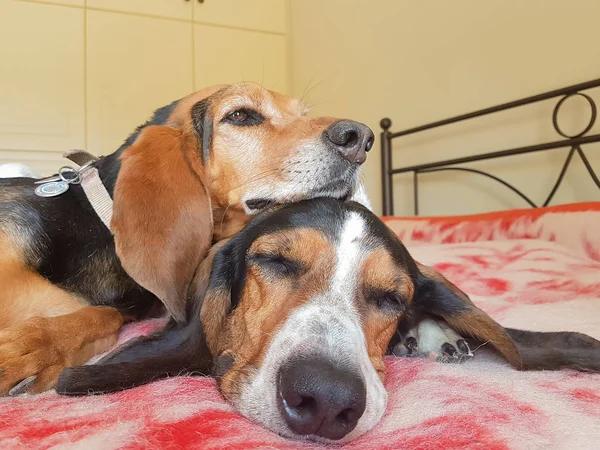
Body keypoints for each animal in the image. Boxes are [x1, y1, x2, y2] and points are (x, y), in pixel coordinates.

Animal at [0, 82, 376, 396]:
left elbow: (103, 317)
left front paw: (33, 349)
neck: (97, 226)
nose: (360, 137)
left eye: (303, 115)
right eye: (240, 115)